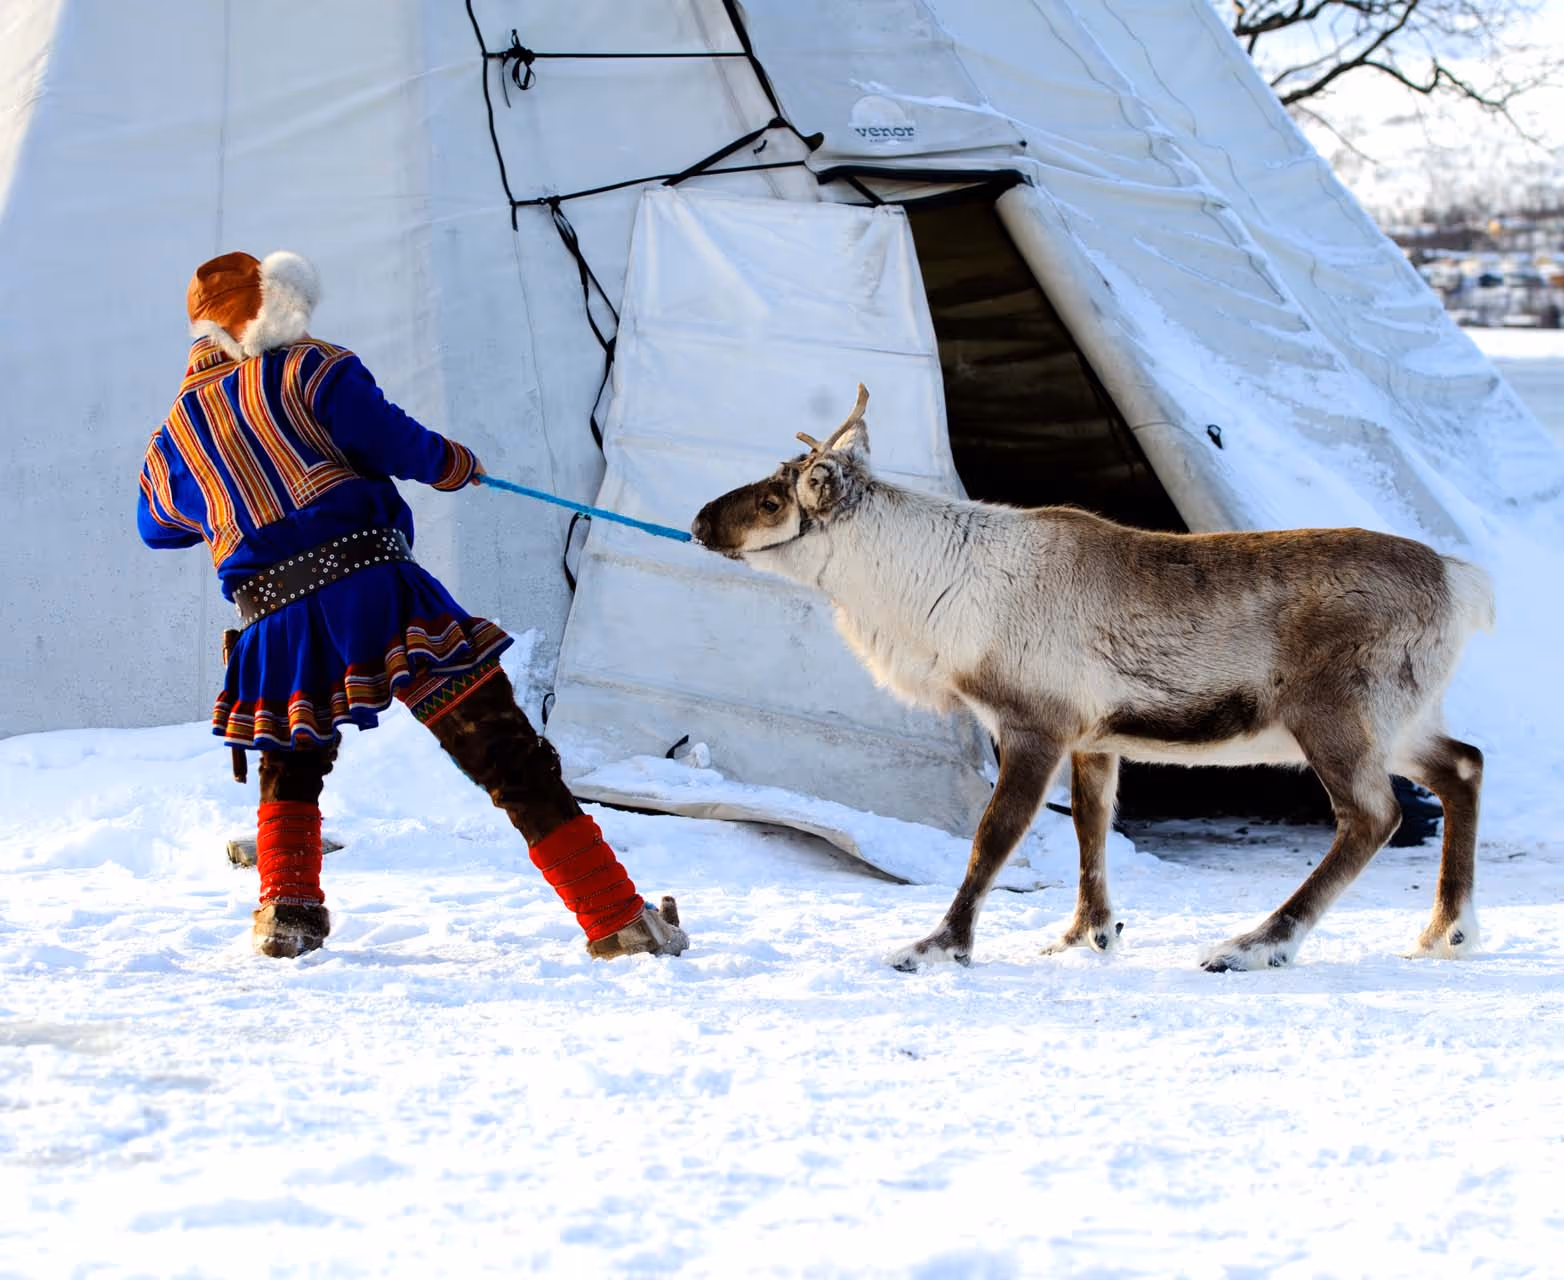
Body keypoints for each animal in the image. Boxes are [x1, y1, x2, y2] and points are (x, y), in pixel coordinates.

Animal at [690, 385, 1495, 972]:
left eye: (773, 499)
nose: (698, 520)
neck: (931, 590)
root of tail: (1463, 584)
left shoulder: (1033, 723)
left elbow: (994, 837)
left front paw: (937, 947)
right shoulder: (1094, 738)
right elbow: (1091, 828)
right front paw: (1086, 934)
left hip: (1333, 716)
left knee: (1373, 815)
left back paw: (1257, 944)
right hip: (1403, 721)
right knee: (1464, 765)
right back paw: (1445, 931)